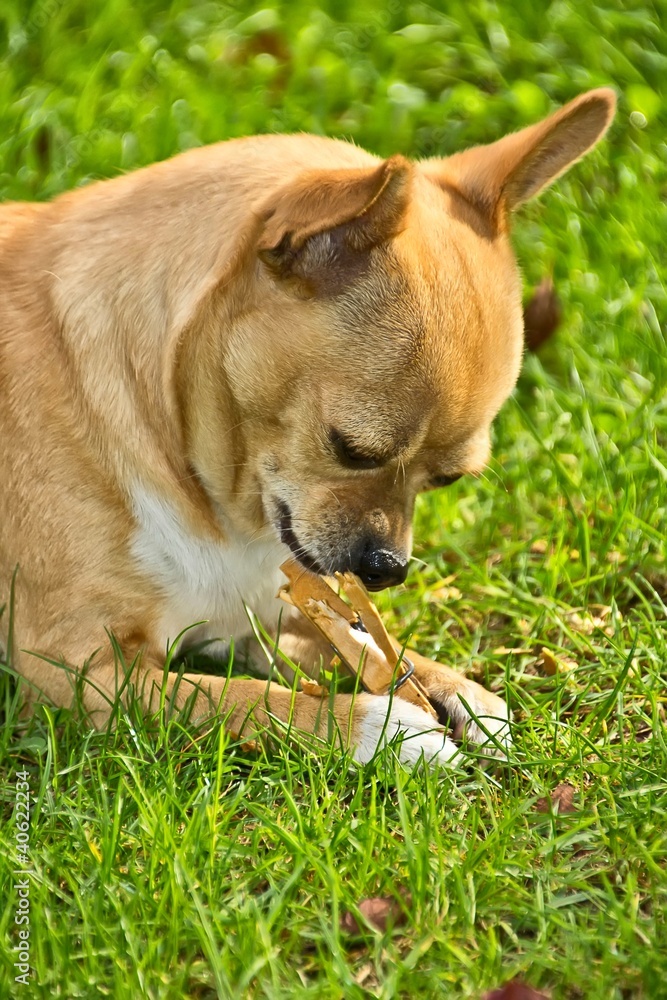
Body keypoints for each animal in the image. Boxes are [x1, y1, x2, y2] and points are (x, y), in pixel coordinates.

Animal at [0, 90, 616, 768]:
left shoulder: (261, 615)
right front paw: (381, 727)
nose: (388, 568)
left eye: (446, 481)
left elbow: (364, 641)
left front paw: (455, 688)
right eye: (351, 449)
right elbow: (241, 701)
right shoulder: (74, 669)